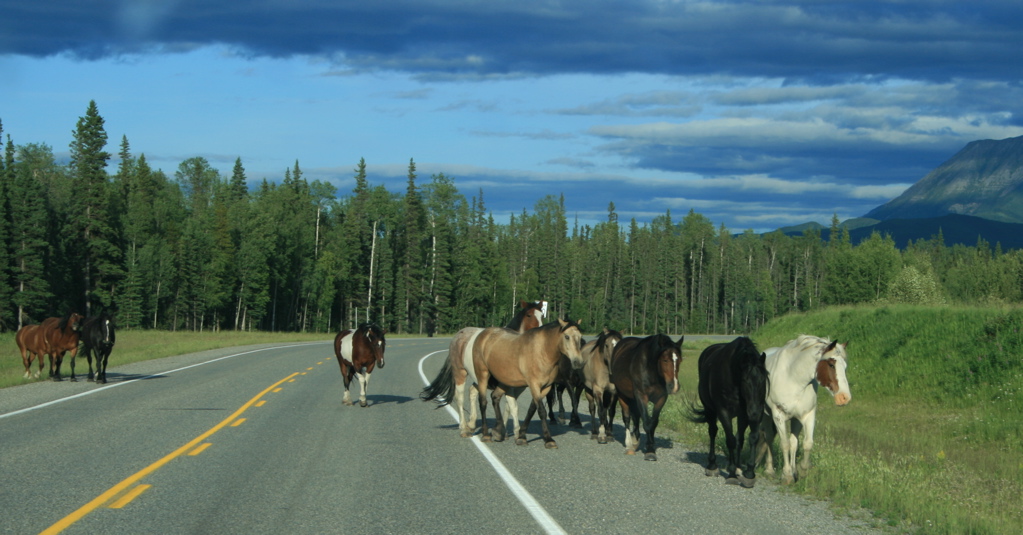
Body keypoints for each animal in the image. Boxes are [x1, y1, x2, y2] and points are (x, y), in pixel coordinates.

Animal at [417, 298, 544, 437]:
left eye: (542, 315)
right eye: (529, 315)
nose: (538, 334)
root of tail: (459, 334)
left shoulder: (516, 388)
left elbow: (510, 406)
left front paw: (504, 430)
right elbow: (512, 406)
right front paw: (513, 432)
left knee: (472, 391)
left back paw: (471, 424)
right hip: (460, 372)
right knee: (459, 397)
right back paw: (464, 427)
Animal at [472, 319, 581, 448]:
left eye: (580, 337)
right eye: (567, 336)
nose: (578, 362)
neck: (542, 351)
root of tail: (483, 334)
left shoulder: (545, 388)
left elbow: (531, 410)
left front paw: (522, 436)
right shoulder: (534, 385)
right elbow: (541, 411)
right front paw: (548, 439)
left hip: (504, 380)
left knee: (495, 397)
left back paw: (498, 431)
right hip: (482, 375)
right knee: (483, 402)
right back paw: (486, 434)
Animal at [609, 333, 683, 462]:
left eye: (679, 360)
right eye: (665, 359)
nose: (674, 386)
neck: (651, 371)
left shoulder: (661, 398)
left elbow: (653, 422)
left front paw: (650, 447)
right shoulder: (641, 396)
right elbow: (647, 422)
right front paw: (649, 451)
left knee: (636, 416)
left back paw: (635, 440)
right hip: (622, 394)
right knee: (627, 418)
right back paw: (629, 445)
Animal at [687, 337, 769, 486]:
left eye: (763, 380)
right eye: (745, 381)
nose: (753, 413)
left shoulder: (748, 413)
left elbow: (751, 438)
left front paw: (749, 473)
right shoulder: (724, 412)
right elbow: (730, 440)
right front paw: (731, 473)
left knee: (739, 439)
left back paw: (738, 467)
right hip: (710, 410)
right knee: (713, 432)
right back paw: (712, 466)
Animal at [757, 335, 851, 484]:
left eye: (845, 367)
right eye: (831, 364)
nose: (844, 397)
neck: (794, 379)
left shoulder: (807, 415)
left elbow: (806, 443)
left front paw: (801, 471)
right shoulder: (779, 415)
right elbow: (785, 444)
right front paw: (787, 475)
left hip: (795, 419)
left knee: (793, 442)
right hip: (767, 415)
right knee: (769, 438)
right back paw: (770, 470)